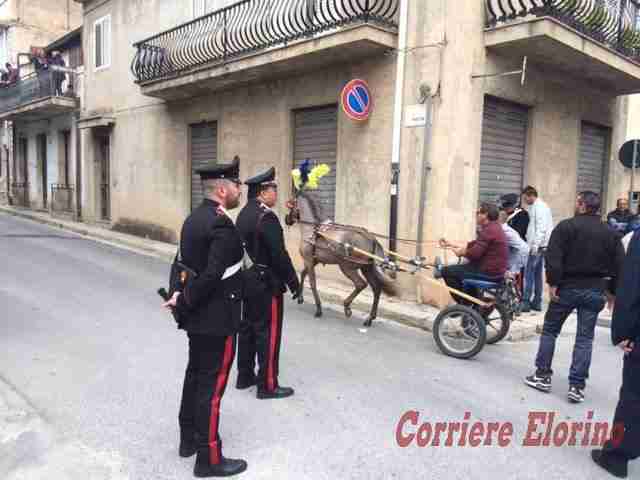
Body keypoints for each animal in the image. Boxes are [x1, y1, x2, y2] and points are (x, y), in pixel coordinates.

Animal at [284, 190, 396, 326]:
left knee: (360, 284)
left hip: (346, 267)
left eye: (291, 205)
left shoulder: (309, 260)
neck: (312, 229)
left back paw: (347, 306)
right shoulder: (314, 261)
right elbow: (303, 274)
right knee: (376, 288)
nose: (286, 219)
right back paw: (369, 318)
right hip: (366, 268)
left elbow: (312, 283)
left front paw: (318, 308)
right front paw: (299, 297)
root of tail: (370, 237)